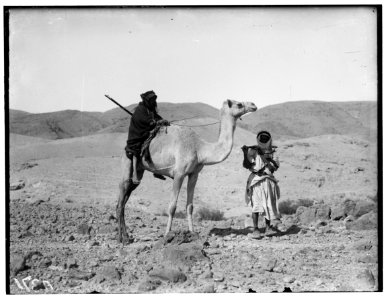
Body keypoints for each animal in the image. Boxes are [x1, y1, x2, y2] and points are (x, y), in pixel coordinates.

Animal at [118, 99, 258, 244]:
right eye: (239, 104)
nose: (253, 105)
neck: (200, 149)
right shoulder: (179, 173)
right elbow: (172, 207)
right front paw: (167, 235)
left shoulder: (194, 174)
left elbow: (190, 206)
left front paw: (192, 233)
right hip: (127, 165)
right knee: (121, 200)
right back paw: (122, 238)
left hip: (138, 172)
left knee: (124, 199)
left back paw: (124, 236)